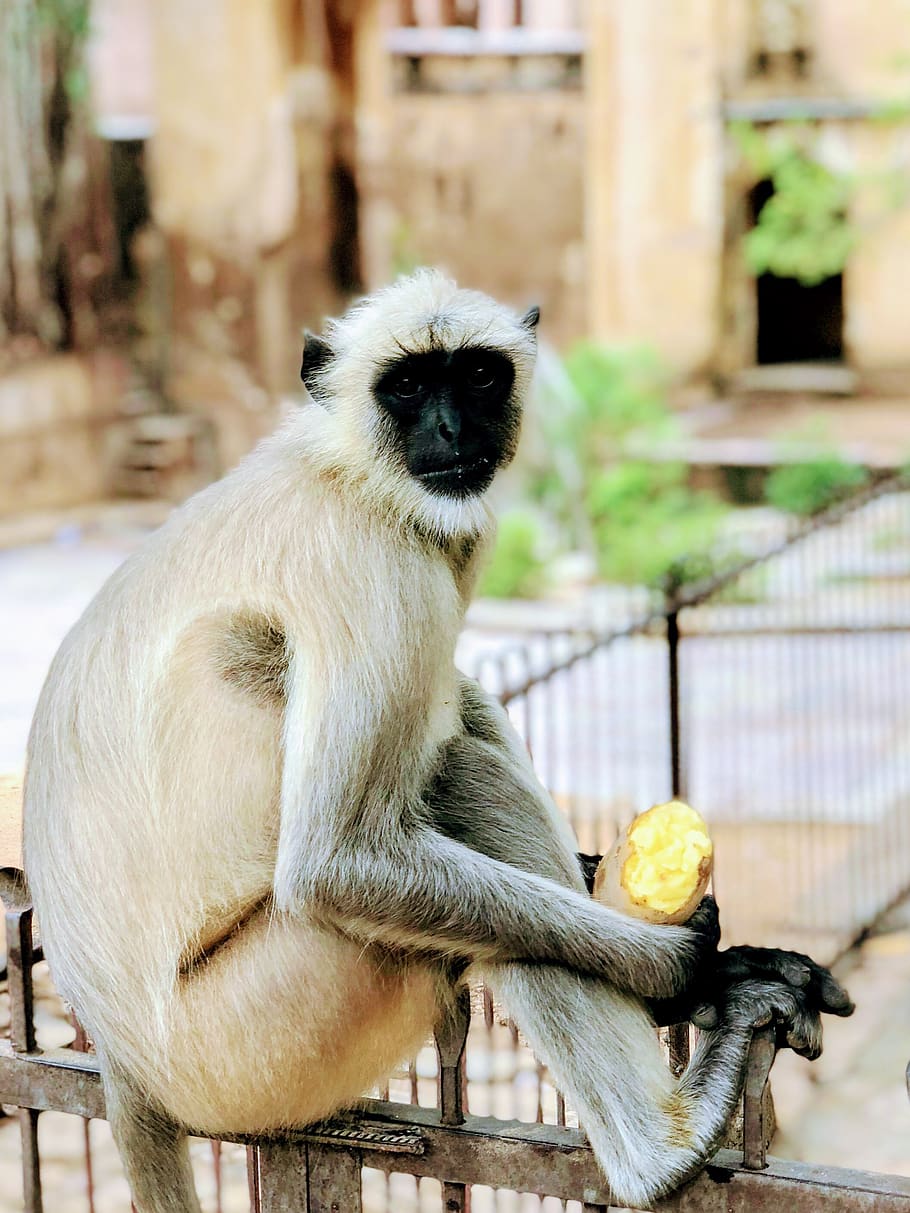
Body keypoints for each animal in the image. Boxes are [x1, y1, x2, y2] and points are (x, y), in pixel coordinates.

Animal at [21, 270, 852, 1213]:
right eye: (410, 385)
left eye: (479, 375)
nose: (453, 431)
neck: (348, 471)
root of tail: (124, 1061)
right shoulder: (375, 567)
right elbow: (338, 861)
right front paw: (676, 969)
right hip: (253, 1039)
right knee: (454, 781)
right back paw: (661, 1147)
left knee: (454, 725)